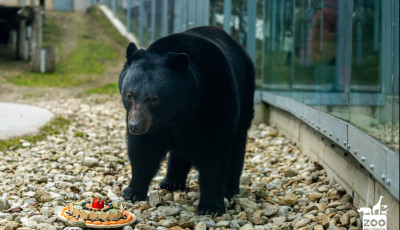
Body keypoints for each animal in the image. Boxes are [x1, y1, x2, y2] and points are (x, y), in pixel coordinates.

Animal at [119, 26, 256, 215]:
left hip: (245, 93)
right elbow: (143, 149)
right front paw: (132, 192)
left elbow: (214, 154)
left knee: (237, 145)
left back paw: (231, 189)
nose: (135, 126)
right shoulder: (153, 125)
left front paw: (210, 207)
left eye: (153, 99)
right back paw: (171, 181)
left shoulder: (217, 99)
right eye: (129, 95)